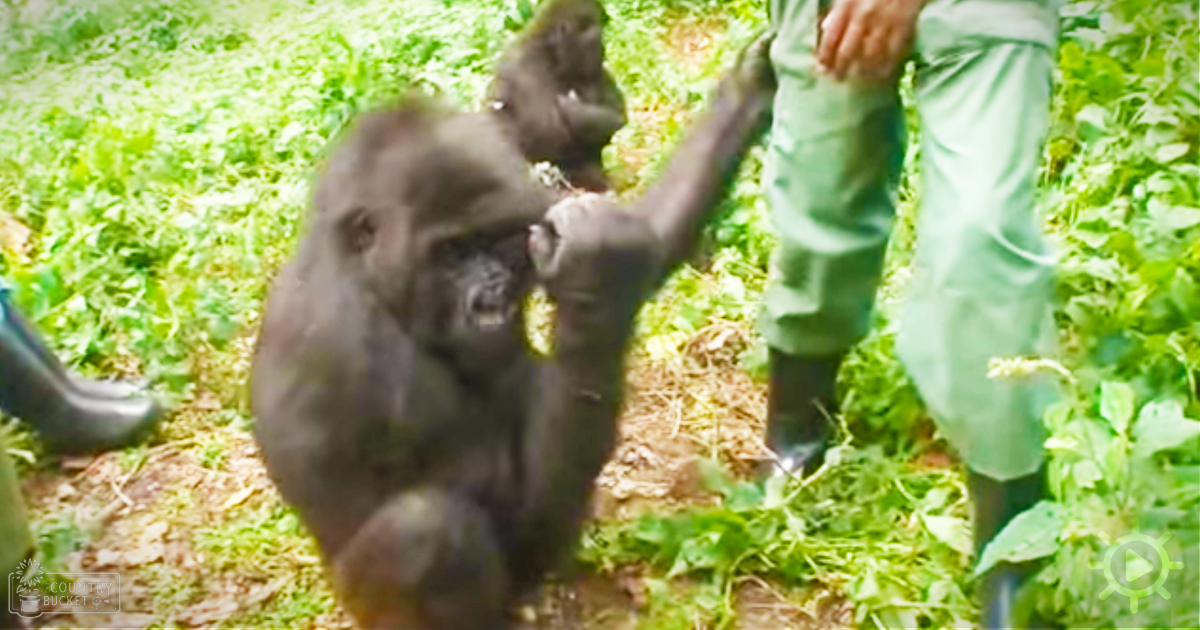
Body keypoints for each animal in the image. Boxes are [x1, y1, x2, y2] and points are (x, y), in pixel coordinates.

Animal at [249, 31, 776, 630]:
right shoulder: (365, 353)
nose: (492, 295)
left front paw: (745, 92)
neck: (361, 270)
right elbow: (514, 516)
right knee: (426, 530)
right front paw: (597, 280)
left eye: (495, 240)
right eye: (451, 253)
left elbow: (645, 236)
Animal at [488, 0, 627, 193]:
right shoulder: (526, 67)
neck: (550, 52)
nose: (602, 50)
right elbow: (547, 134)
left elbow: (616, 113)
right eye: (594, 35)